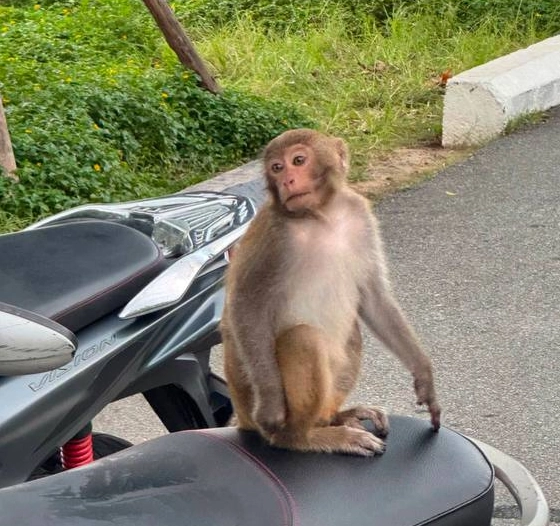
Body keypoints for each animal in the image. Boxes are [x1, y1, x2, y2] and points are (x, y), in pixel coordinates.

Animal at [221, 129, 440, 458]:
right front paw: (272, 406)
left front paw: (424, 376)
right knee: (303, 338)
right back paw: (301, 437)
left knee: (351, 333)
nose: (287, 181)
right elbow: (247, 306)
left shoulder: (359, 214)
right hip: (249, 403)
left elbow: (373, 297)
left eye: (298, 160)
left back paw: (337, 416)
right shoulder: (274, 235)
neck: (321, 216)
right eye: (277, 168)